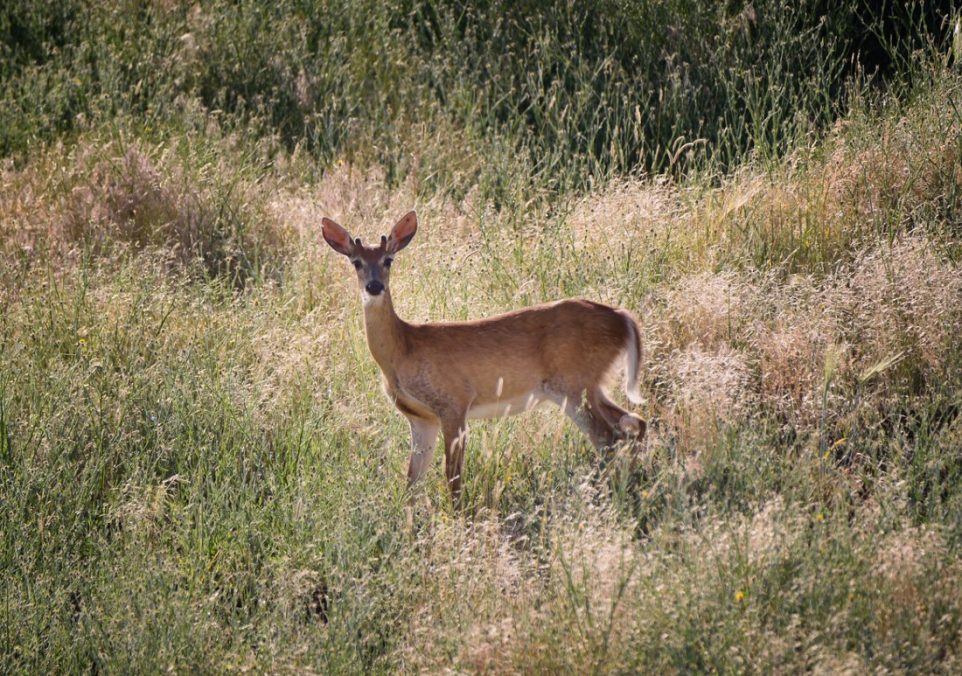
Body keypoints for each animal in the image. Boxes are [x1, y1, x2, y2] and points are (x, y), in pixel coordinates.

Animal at [322, 211, 644, 508]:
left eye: (388, 259)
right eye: (356, 262)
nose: (374, 287)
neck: (403, 349)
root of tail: (623, 318)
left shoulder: (454, 403)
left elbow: (452, 478)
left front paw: (456, 519)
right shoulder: (421, 418)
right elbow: (412, 481)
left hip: (573, 384)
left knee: (608, 436)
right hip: (592, 385)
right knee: (634, 424)